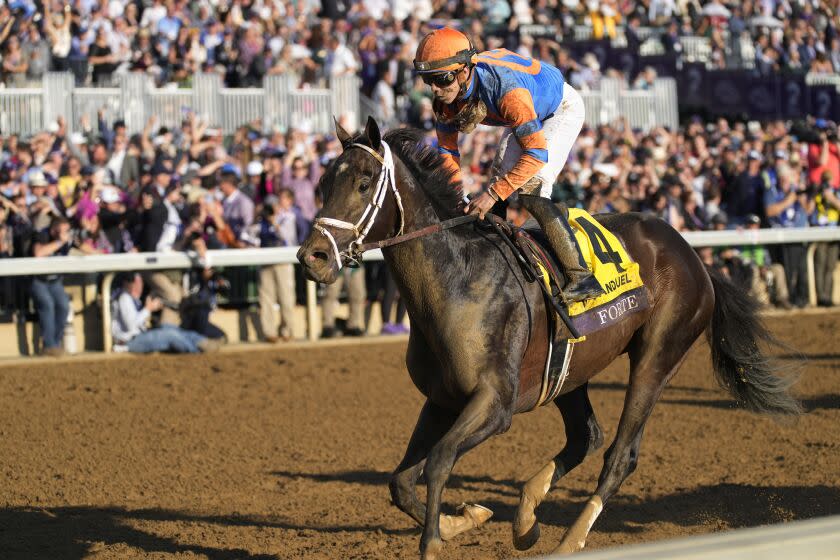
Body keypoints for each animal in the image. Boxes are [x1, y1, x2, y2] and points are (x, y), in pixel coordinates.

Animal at [296, 117, 800, 556]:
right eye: (322, 184)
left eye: (364, 183)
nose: (313, 257)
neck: (458, 279)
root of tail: (692, 253)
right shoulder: (441, 399)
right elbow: (401, 482)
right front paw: (467, 519)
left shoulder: (495, 404)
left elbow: (438, 461)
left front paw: (438, 541)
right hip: (569, 371)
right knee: (586, 437)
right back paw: (526, 518)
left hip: (659, 356)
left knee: (619, 454)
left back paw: (568, 541)